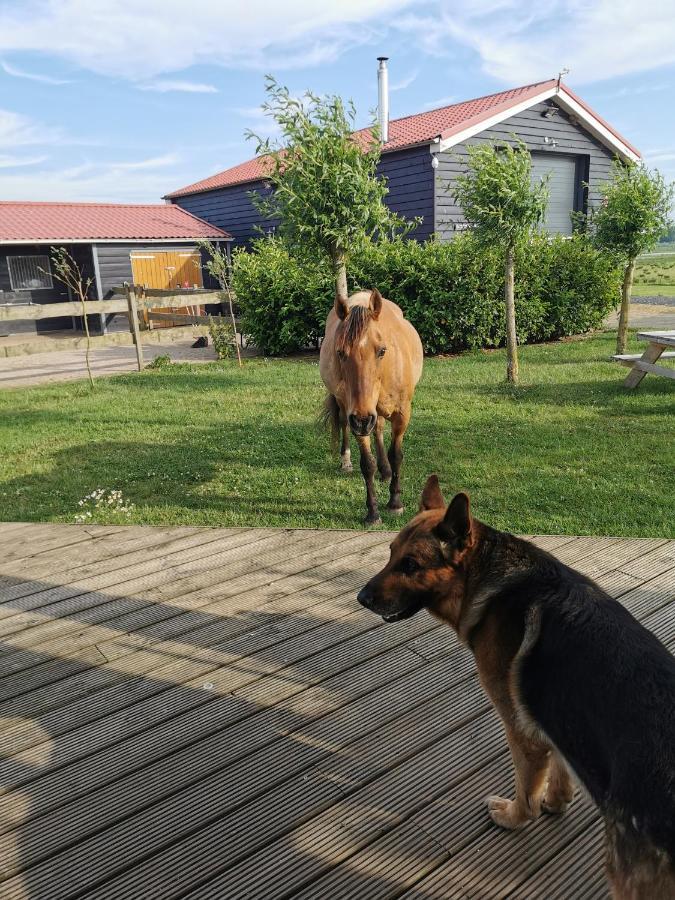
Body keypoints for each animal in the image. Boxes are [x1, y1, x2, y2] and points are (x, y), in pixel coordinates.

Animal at [320, 288, 422, 528]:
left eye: (382, 350)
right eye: (340, 352)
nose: (362, 420)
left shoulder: (401, 414)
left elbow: (396, 455)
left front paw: (395, 502)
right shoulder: (357, 415)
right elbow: (367, 464)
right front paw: (373, 513)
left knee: (379, 430)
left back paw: (385, 471)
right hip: (348, 408)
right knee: (347, 426)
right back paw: (346, 461)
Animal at [360, 474, 675, 896]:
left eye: (410, 565)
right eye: (390, 553)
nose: (361, 598)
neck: (484, 577)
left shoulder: (521, 728)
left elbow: (527, 788)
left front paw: (514, 817)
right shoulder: (553, 717)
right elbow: (559, 765)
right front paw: (557, 802)